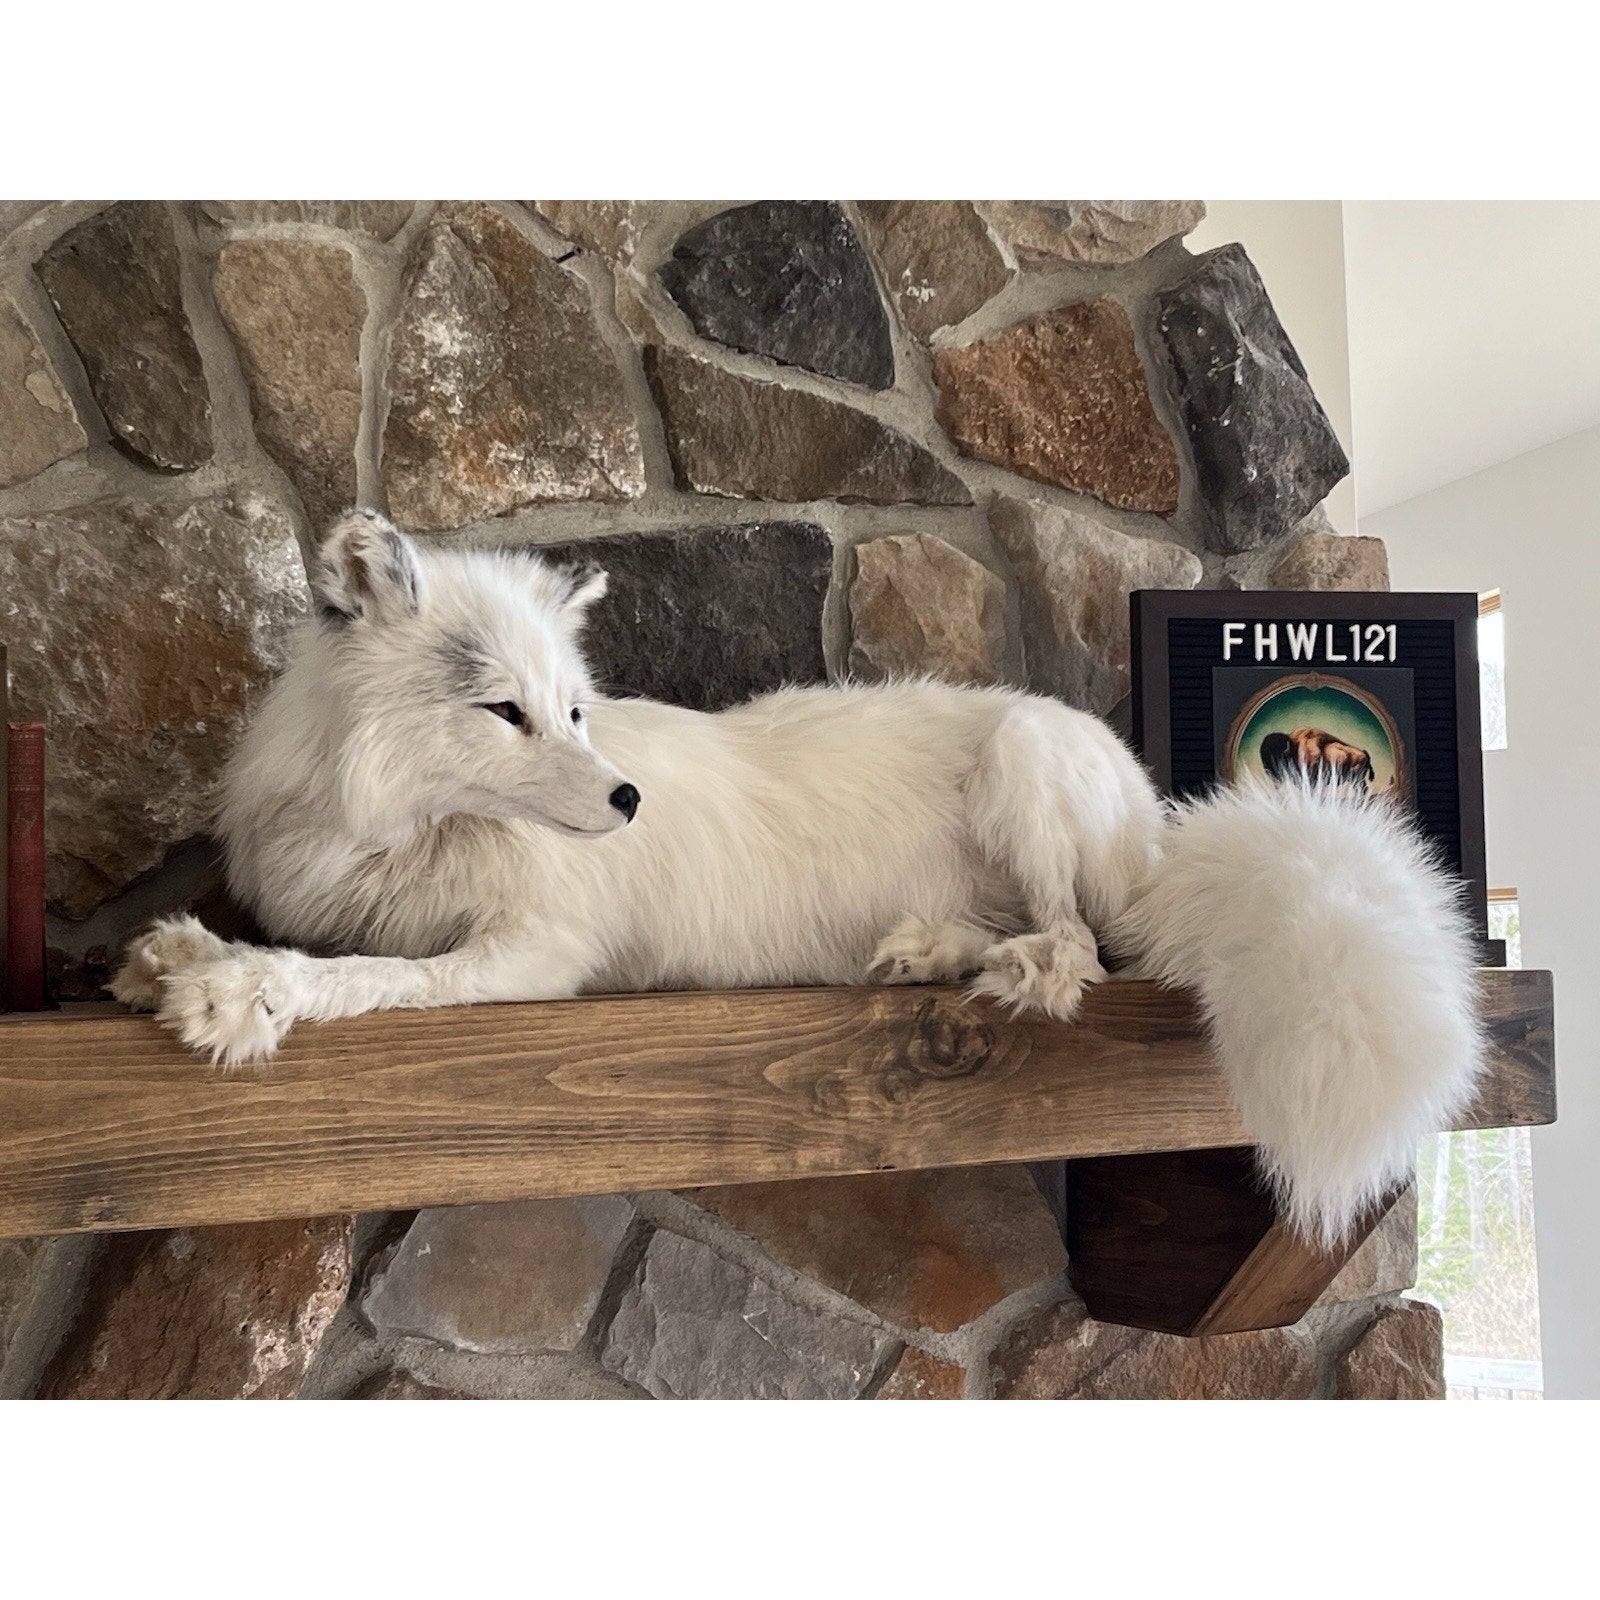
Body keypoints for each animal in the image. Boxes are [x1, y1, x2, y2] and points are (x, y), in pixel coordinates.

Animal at [112, 509, 1484, 1242]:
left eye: (575, 708)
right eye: (506, 712)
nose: (627, 798)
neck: (397, 828)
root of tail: (1161, 827)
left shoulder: (531, 959)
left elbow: (368, 982)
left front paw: (240, 991)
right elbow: (336, 949)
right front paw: (180, 951)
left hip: (1027, 765)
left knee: (1084, 952)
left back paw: (1001, 963)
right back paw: (928, 948)